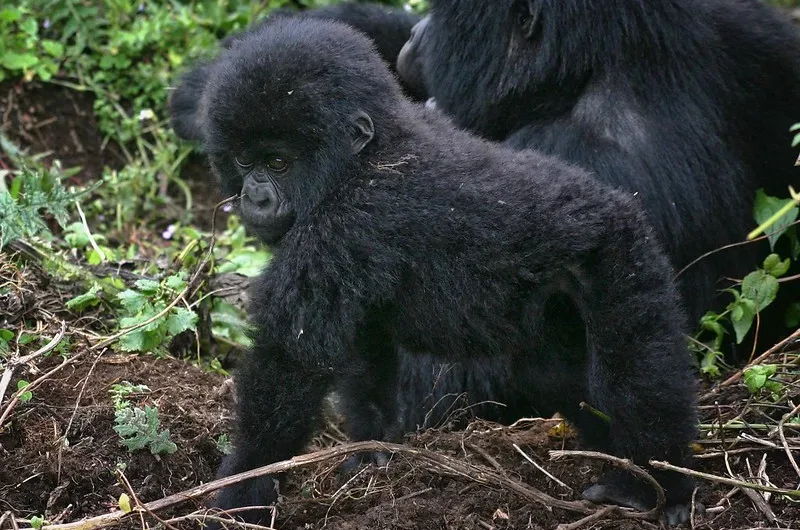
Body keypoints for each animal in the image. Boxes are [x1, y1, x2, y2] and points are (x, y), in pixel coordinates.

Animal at [203, 16, 696, 524]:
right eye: (245, 159)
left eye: (279, 162)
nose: (254, 197)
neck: (368, 153)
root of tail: (624, 206)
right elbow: (365, 358)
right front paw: (373, 453)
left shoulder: (343, 223)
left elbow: (291, 363)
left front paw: (241, 490)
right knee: (565, 375)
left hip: (619, 259)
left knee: (637, 372)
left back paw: (656, 484)